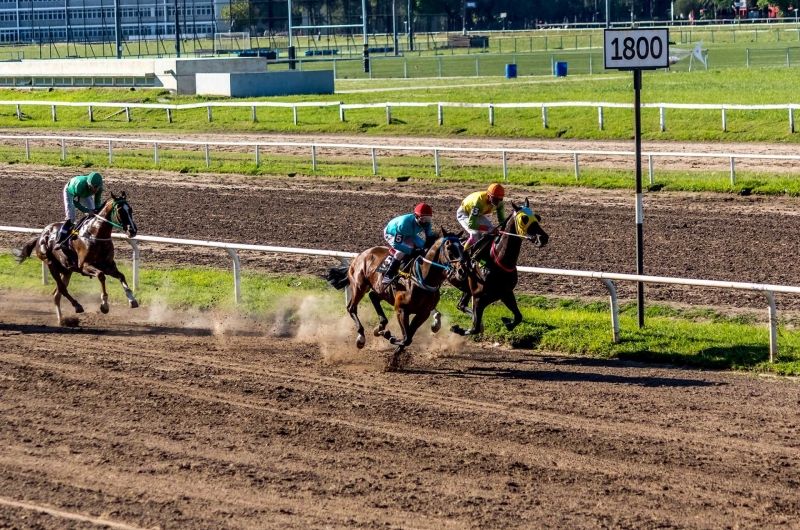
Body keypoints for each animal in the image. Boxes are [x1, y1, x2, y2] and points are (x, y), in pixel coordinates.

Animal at [13, 192, 139, 324]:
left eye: (130, 209)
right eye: (120, 210)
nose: (132, 230)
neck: (95, 234)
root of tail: (41, 236)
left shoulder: (108, 265)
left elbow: (121, 276)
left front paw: (132, 300)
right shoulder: (84, 266)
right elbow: (101, 275)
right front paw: (104, 305)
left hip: (67, 270)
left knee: (57, 294)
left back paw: (62, 320)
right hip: (51, 264)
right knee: (62, 289)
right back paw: (77, 306)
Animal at [324, 227, 462, 368]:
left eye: (462, 248)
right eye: (450, 249)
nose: (461, 270)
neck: (422, 278)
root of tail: (361, 254)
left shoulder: (423, 313)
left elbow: (409, 337)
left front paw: (395, 354)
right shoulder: (401, 309)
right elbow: (406, 337)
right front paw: (389, 337)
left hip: (382, 290)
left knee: (373, 296)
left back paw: (380, 326)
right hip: (359, 286)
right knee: (351, 308)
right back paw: (361, 337)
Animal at [446, 198, 548, 334]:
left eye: (537, 217)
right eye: (524, 218)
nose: (543, 237)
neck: (497, 259)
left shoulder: (505, 293)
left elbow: (518, 317)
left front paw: (507, 322)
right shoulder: (479, 298)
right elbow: (475, 328)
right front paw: (456, 328)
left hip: (467, 289)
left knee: (461, 305)